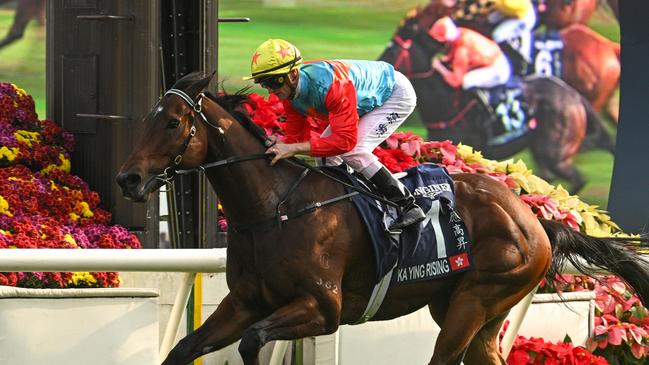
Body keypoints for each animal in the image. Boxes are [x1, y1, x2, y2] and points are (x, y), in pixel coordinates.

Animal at [116, 71, 648, 364]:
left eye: (172, 123)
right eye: (145, 119)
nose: (127, 178)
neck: (274, 210)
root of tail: (534, 217)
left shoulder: (322, 309)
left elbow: (252, 343)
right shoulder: (244, 303)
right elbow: (185, 349)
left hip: (477, 300)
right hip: (471, 308)